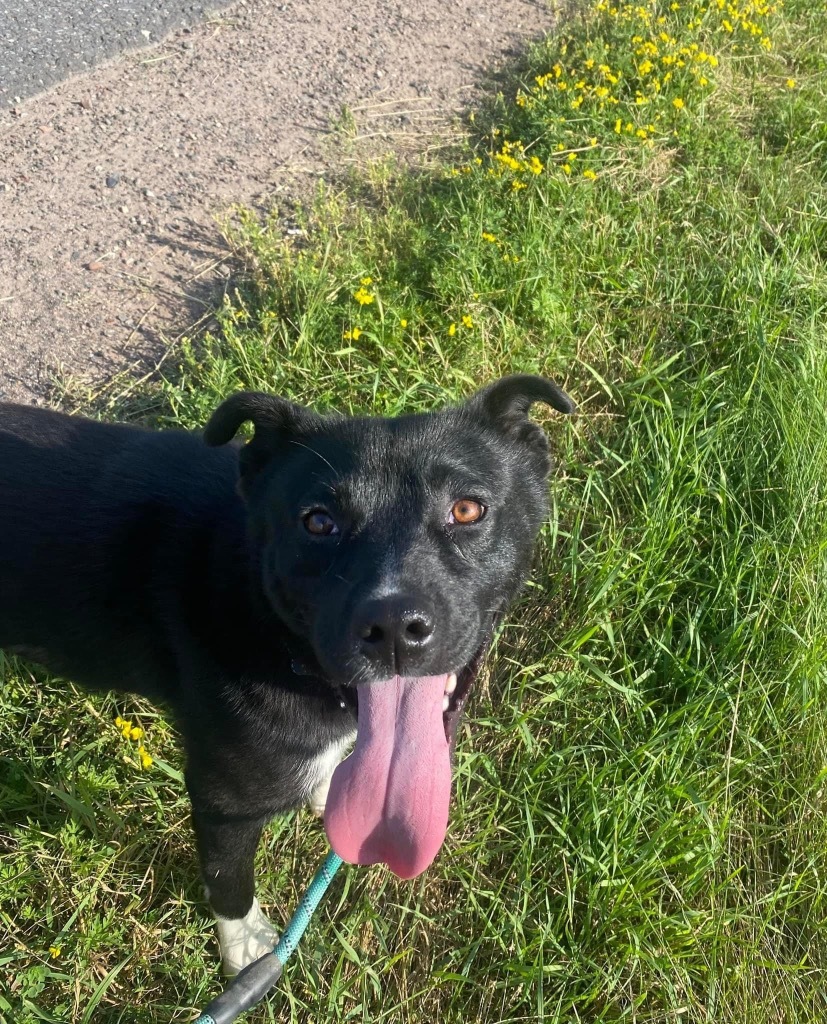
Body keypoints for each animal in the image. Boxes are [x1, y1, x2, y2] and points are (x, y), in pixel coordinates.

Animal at [0, 378, 573, 974]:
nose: (393, 627)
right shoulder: (223, 799)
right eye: (317, 522)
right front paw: (248, 951)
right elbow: (228, 879)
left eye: (466, 509)